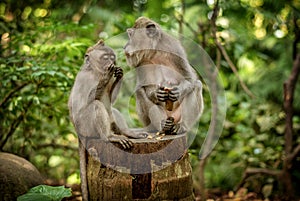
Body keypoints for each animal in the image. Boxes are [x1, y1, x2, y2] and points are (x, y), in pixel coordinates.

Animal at [68, 39, 148, 201]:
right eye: (106, 57)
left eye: (112, 57)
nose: (112, 62)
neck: (95, 71)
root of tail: (79, 132)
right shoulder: (84, 79)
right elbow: (85, 102)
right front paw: (105, 77)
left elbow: (111, 100)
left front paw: (119, 74)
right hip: (86, 127)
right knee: (96, 105)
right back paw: (109, 136)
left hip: (110, 123)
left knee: (112, 110)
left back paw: (126, 132)